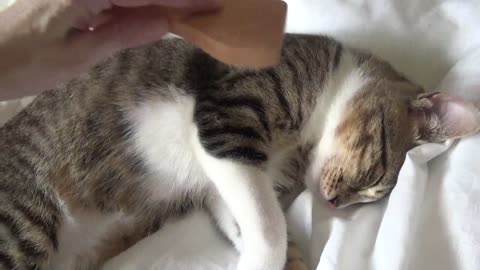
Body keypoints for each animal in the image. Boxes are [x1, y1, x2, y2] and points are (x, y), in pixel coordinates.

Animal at [0, 33, 480, 270]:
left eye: (368, 199)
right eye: (376, 175)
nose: (335, 202)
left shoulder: (224, 180)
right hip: (24, 222)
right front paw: (264, 258)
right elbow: (268, 227)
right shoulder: (226, 118)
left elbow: (246, 221)